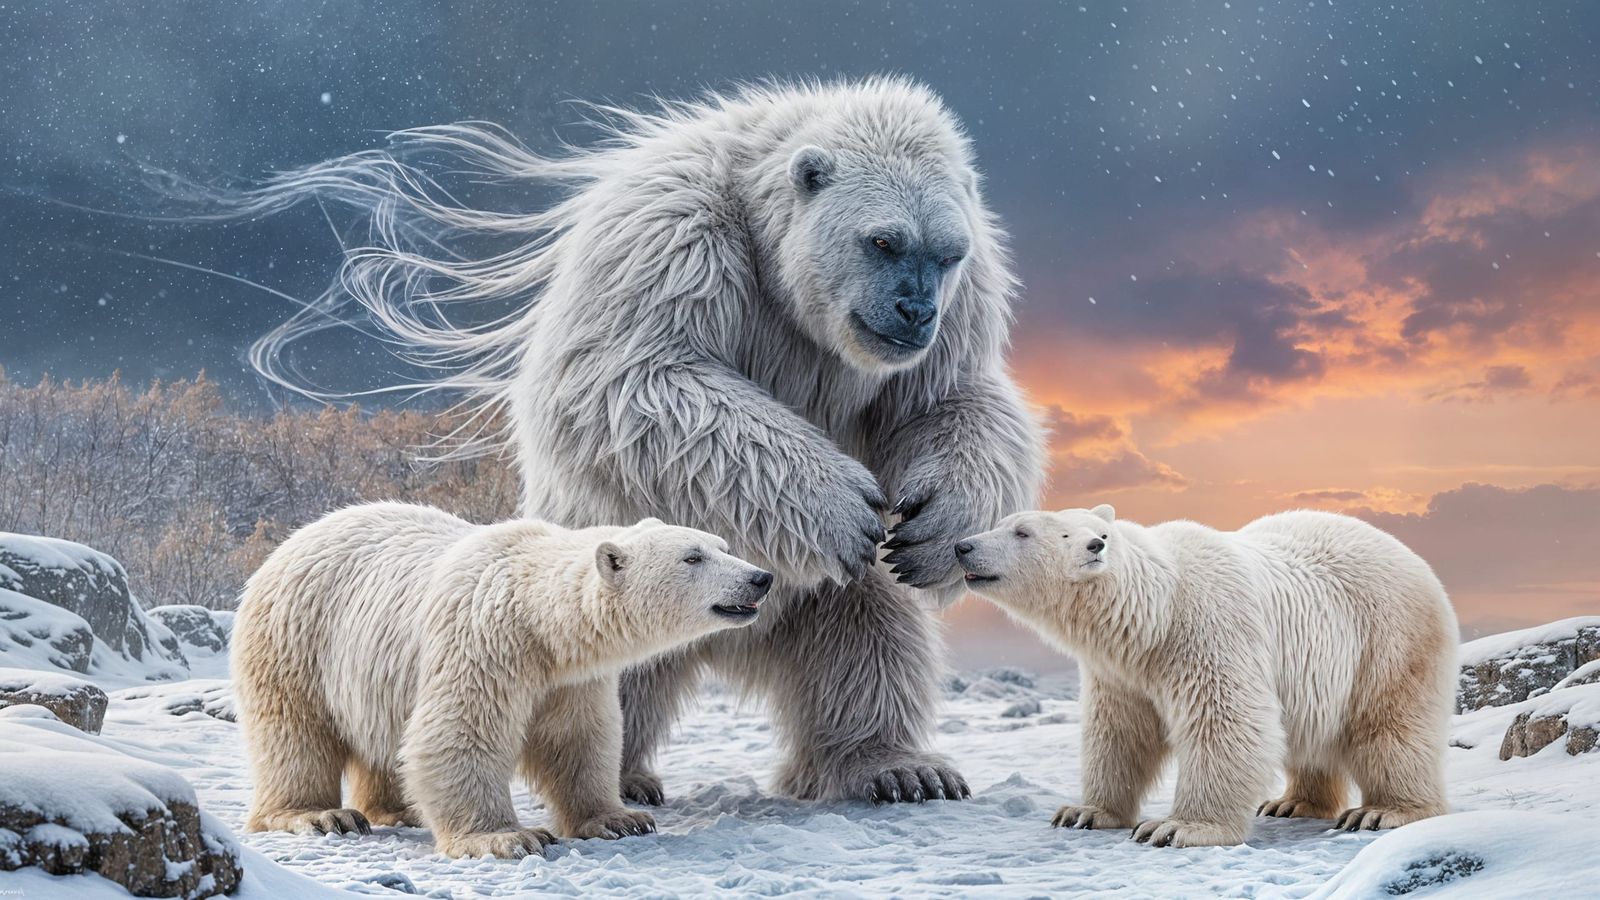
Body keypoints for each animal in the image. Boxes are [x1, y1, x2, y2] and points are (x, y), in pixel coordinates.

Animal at [231, 78, 1046, 806]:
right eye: (883, 240)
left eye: (947, 252)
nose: (914, 312)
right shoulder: (671, 234)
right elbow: (637, 377)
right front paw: (842, 500)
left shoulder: (963, 306)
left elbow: (948, 398)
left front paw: (934, 524)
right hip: (599, 564)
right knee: (606, 673)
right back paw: (620, 776)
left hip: (804, 596)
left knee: (867, 632)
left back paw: (896, 767)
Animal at [231, 502, 772, 858]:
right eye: (693, 557)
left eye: (723, 545)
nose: (761, 577)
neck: (536, 613)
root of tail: (293, 540)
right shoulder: (483, 641)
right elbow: (460, 733)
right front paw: (509, 836)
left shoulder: (570, 677)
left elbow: (579, 738)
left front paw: (620, 818)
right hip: (297, 637)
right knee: (295, 733)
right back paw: (320, 815)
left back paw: (400, 809)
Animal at [954, 505, 1456, 847]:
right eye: (1006, 521)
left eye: (1021, 532)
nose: (963, 545)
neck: (1154, 611)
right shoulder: (1119, 672)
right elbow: (1118, 732)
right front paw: (1084, 812)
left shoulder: (1207, 629)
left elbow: (1226, 720)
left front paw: (1177, 827)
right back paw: (1291, 803)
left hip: (1387, 637)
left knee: (1390, 725)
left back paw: (1382, 811)